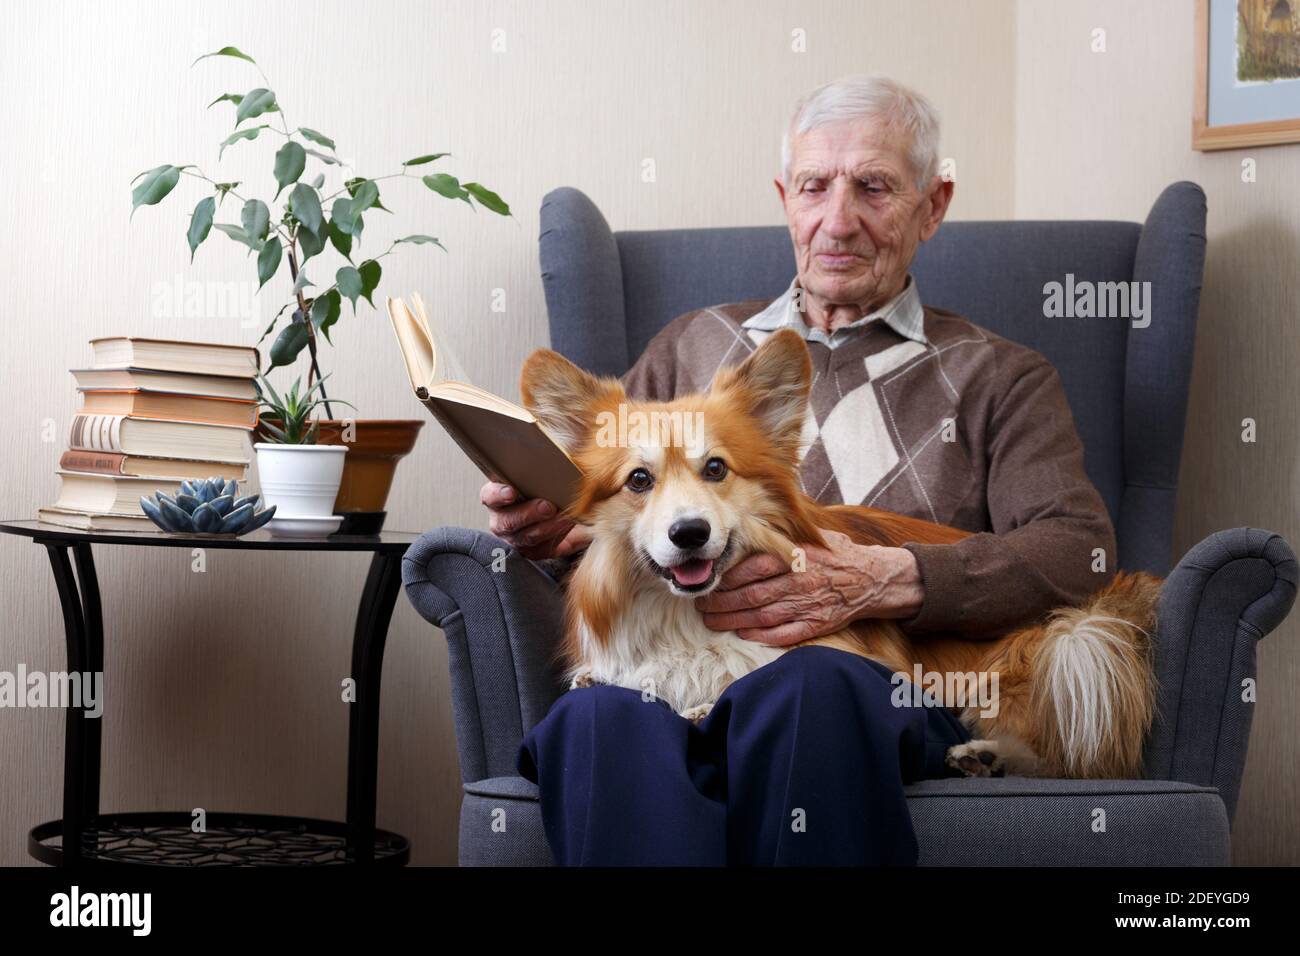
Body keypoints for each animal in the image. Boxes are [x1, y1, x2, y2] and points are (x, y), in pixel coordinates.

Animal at [517, 329, 1159, 780]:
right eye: (639, 480)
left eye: (716, 469)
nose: (690, 533)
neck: (687, 613)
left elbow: (750, 670)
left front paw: (705, 704)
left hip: (1046, 654)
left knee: (1072, 754)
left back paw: (990, 756)